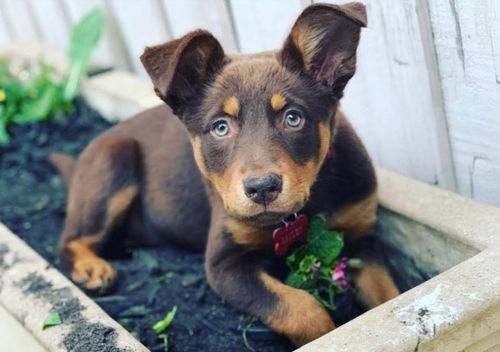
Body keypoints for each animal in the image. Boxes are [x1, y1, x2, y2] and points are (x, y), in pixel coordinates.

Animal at [50, 2, 400, 346]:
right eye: (221, 127)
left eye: (293, 118)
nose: (262, 188)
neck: (302, 210)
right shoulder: (224, 265)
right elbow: (301, 307)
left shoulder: (363, 236)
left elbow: (388, 296)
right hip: (113, 156)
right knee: (68, 240)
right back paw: (91, 268)